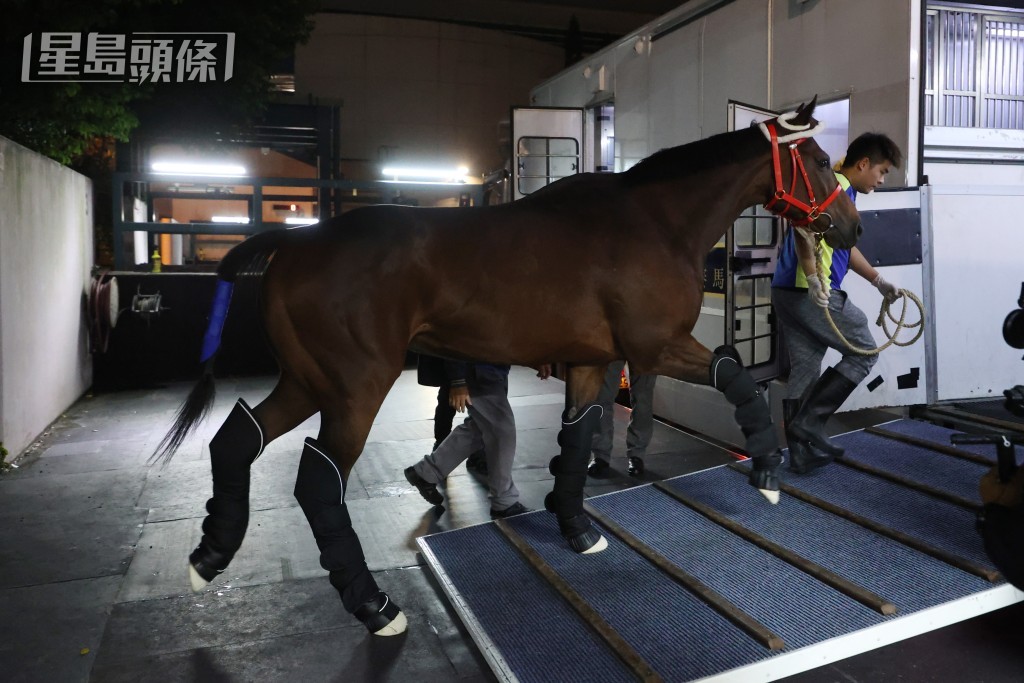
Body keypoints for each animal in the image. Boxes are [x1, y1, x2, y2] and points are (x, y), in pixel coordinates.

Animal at [155, 97, 860, 636]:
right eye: (822, 161)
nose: (850, 227)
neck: (653, 223)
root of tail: (297, 241)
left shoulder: (592, 361)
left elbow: (578, 437)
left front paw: (575, 528)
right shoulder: (655, 347)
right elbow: (735, 373)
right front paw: (766, 470)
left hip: (307, 381)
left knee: (236, 438)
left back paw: (209, 555)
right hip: (355, 388)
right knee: (318, 479)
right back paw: (374, 605)